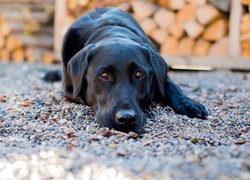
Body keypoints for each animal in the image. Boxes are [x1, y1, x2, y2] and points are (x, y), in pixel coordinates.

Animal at [61, 7, 208, 132]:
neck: (113, 31)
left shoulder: (162, 76)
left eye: (139, 74)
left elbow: (172, 86)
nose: (126, 119)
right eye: (104, 75)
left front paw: (188, 103)